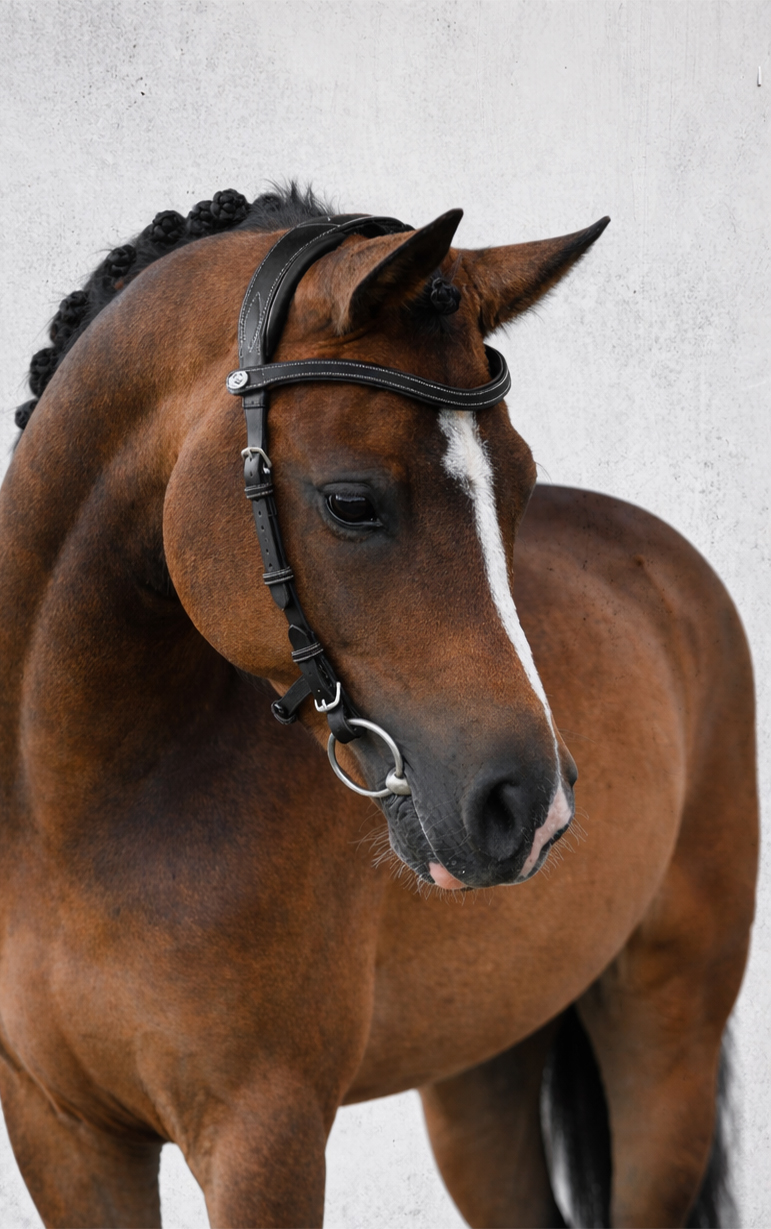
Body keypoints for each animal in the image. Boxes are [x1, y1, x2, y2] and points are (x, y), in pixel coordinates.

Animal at [0, 185, 757, 1229]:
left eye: (519, 484)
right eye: (350, 501)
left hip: (666, 1030)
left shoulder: (262, 1134)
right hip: (483, 1063)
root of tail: (668, 561)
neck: (71, 816)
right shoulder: (62, 1134)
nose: (527, 806)